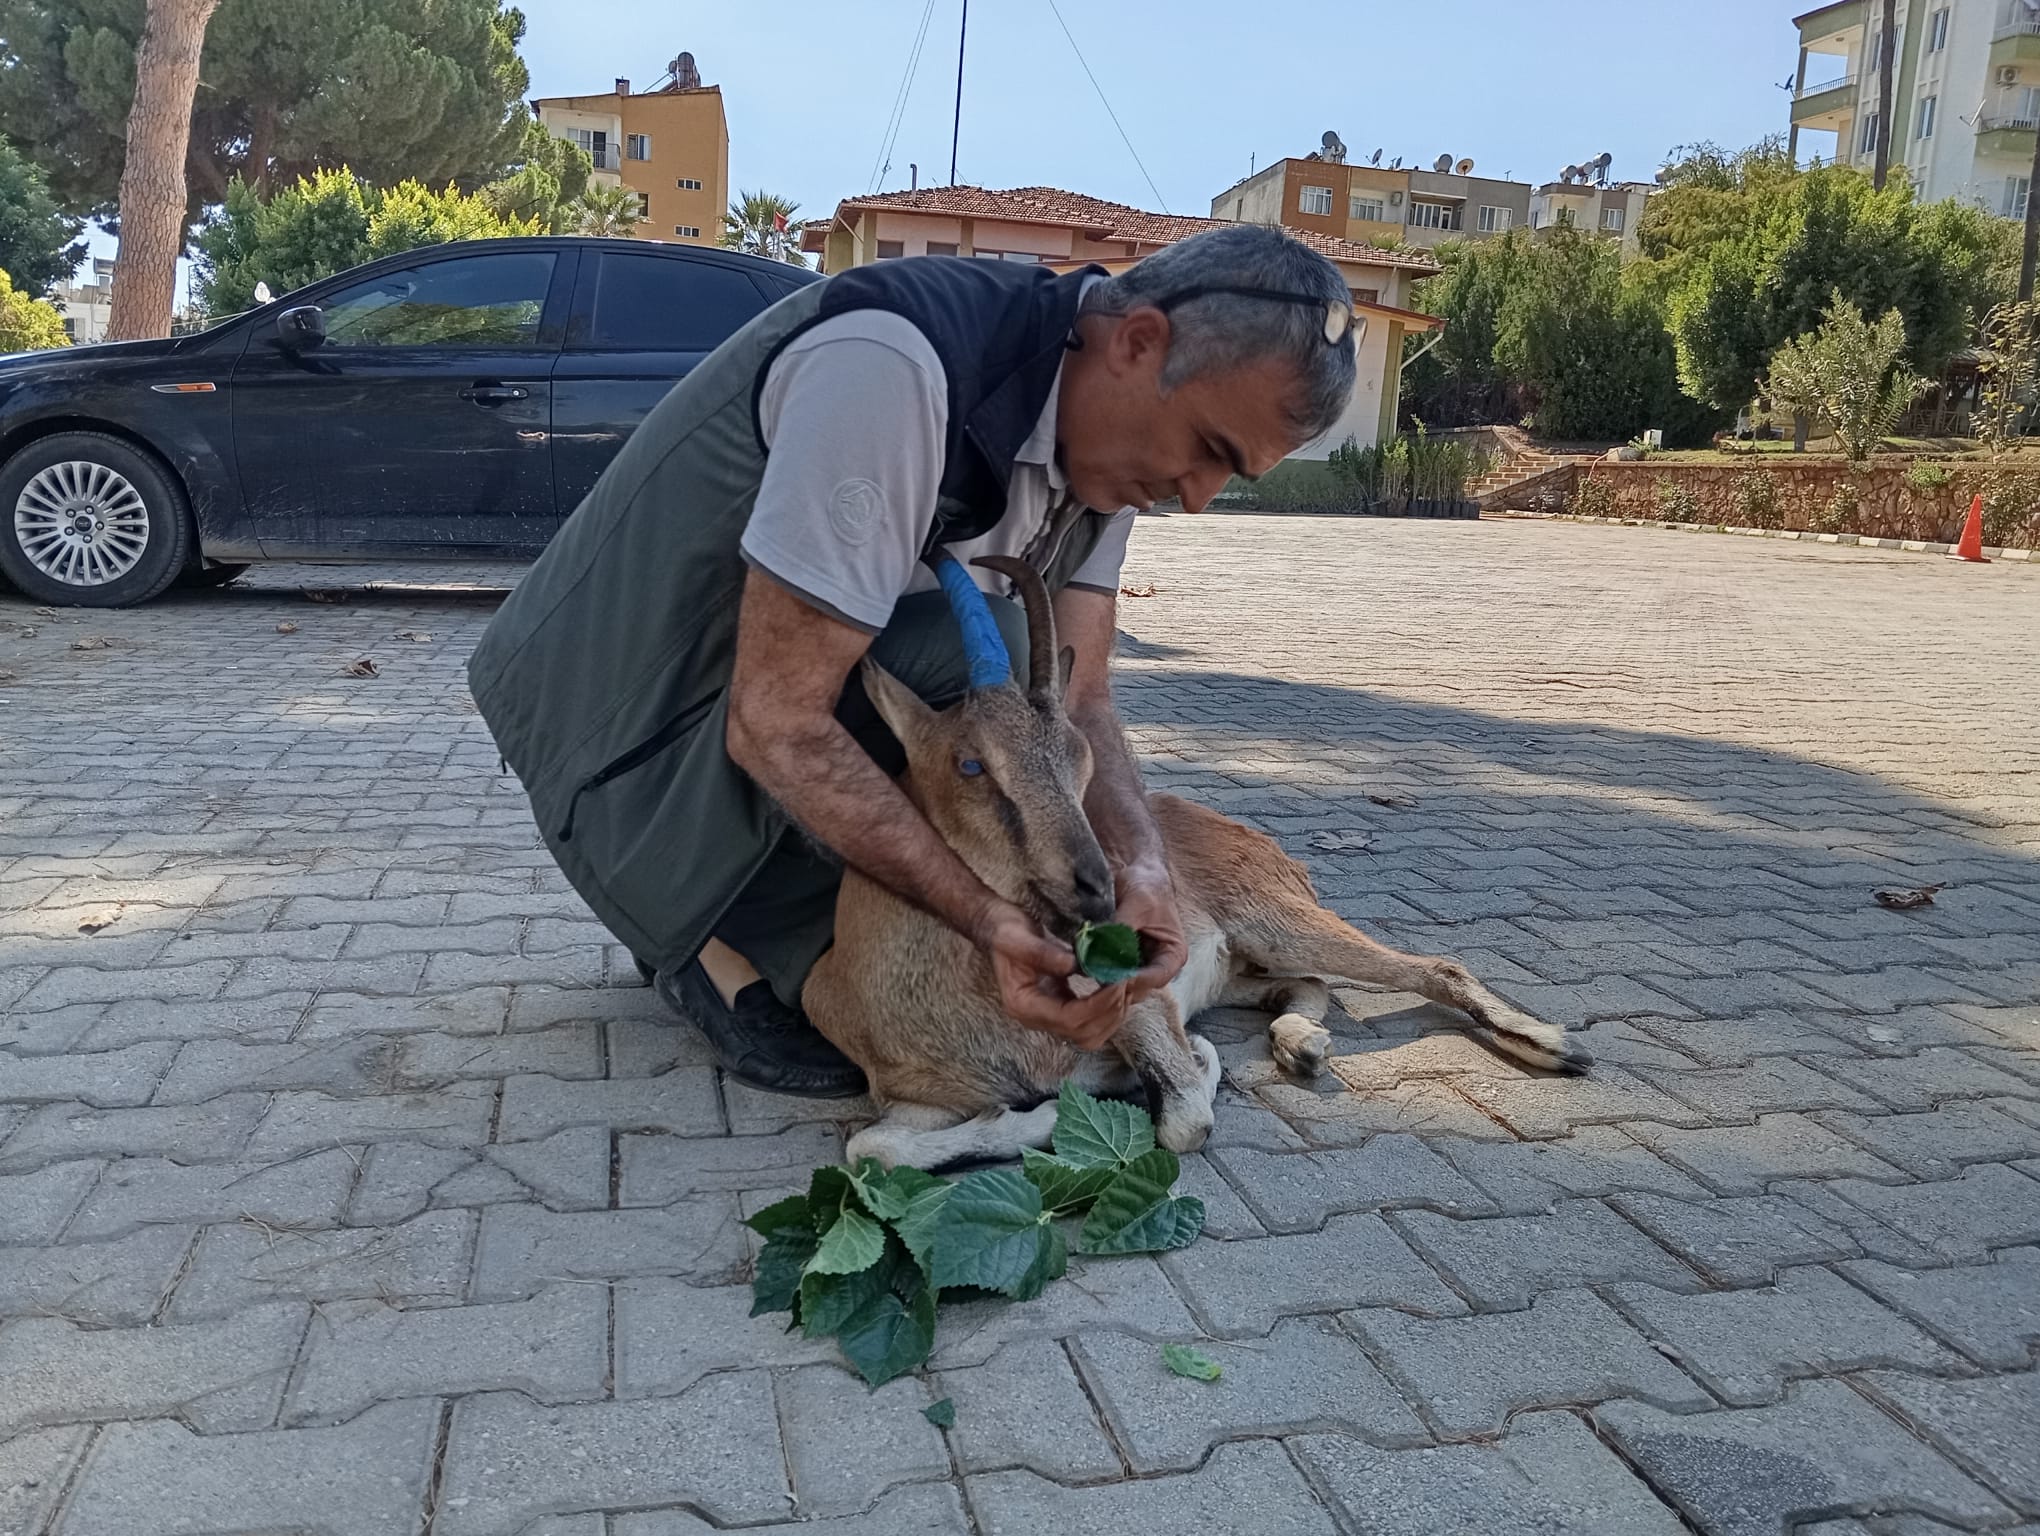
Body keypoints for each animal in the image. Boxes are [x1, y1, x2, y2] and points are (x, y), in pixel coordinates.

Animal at [799, 550, 1591, 1158]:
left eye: (1080, 755)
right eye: (970, 764)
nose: (1101, 893)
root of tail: (1266, 846)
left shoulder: (1139, 1003)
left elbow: (1185, 1116)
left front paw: (1158, 1076)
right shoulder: (921, 1097)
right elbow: (873, 1148)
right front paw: (1044, 1113)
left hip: (1275, 920)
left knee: (1430, 966)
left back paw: (1554, 1046)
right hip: (1239, 967)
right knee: (1306, 985)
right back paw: (1301, 1045)